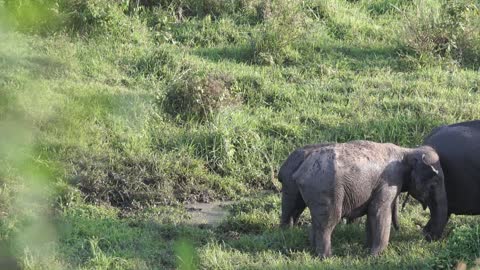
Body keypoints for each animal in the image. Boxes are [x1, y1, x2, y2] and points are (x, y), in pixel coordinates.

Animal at [278, 140, 446, 258]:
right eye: (434, 183)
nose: (425, 236)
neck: (407, 151)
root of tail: (301, 171)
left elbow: (372, 213)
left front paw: (367, 250)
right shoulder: (389, 180)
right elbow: (379, 211)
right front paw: (375, 256)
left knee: (311, 217)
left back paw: (312, 250)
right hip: (325, 190)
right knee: (328, 221)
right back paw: (326, 257)